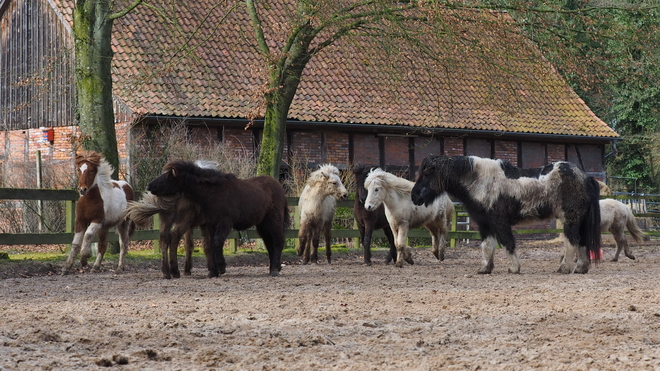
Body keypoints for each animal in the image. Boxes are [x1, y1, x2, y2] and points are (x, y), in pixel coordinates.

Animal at [147, 161, 292, 278]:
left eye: (167, 176)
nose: (149, 186)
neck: (214, 193)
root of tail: (278, 186)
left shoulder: (224, 223)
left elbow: (217, 242)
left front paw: (221, 267)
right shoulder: (211, 224)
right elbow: (211, 245)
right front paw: (213, 272)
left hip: (274, 221)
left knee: (278, 241)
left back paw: (275, 269)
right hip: (262, 225)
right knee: (269, 243)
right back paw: (273, 267)